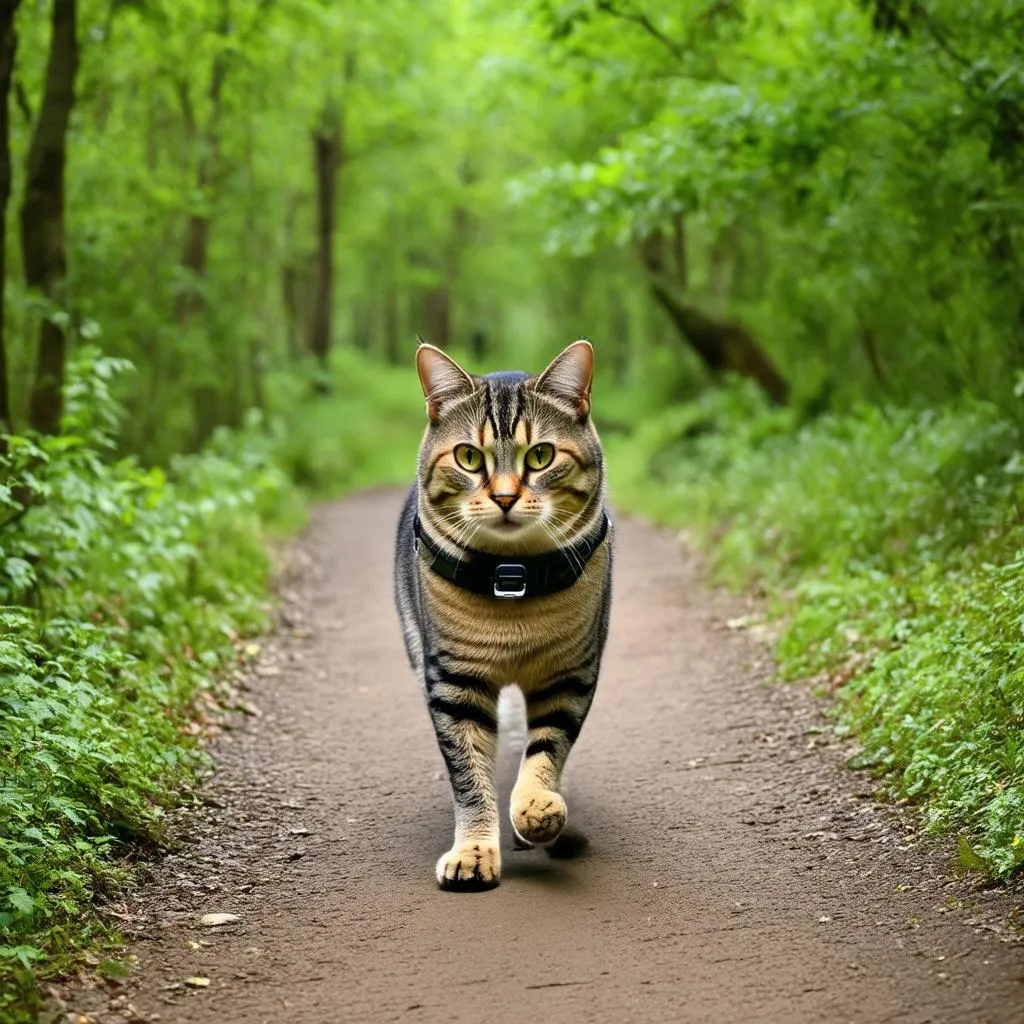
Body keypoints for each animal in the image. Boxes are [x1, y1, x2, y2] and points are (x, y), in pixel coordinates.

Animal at [395, 339, 610, 892]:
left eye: (541, 455)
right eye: (469, 456)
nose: (506, 495)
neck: (513, 577)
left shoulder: (570, 676)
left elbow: (547, 751)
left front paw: (536, 808)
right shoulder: (453, 683)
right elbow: (470, 775)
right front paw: (474, 852)